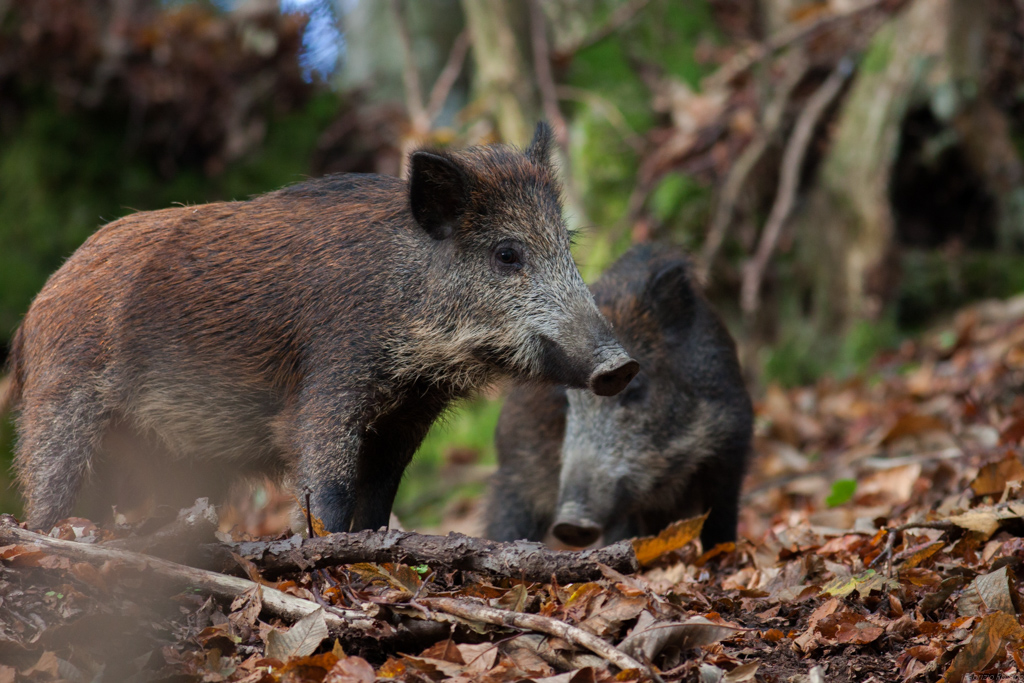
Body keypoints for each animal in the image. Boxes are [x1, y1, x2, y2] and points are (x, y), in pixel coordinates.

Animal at [1, 123, 639, 533]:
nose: (621, 366)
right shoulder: (333, 382)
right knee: (46, 498)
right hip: (62, 408)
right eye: (507, 254)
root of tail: (34, 312)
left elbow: (378, 499)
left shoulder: (408, 417)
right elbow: (327, 488)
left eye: (567, 244)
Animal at [484, 243, 753, 549]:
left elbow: (720, 523)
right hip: (513, 473)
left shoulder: (731, 443)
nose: (570, 523)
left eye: (634, 390)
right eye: (566, 401)